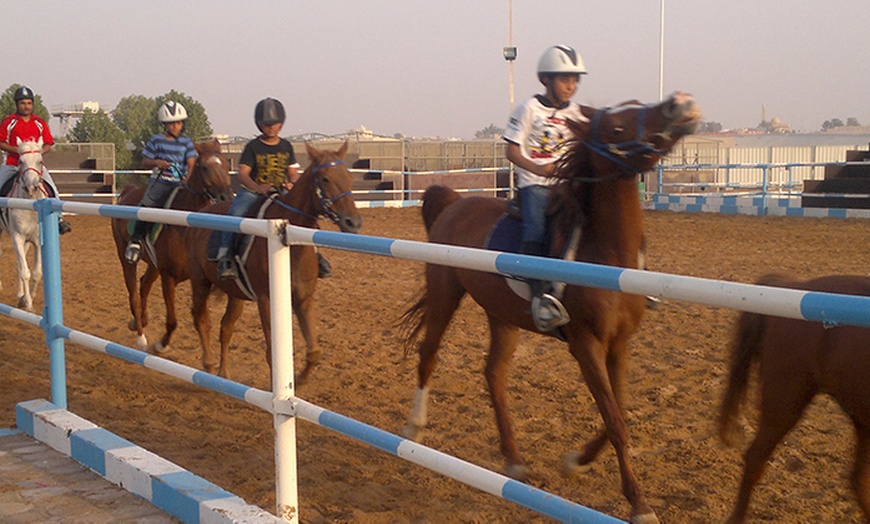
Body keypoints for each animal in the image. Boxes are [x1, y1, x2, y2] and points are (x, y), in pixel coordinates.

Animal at [0, 138, 46, 312]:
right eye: (21, 161)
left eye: (40, 161)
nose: (31, 187)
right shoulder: (17, 237)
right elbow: (25, 272)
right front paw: (29, 303)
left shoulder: (38, 241)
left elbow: (36, 273)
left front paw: (27, 297)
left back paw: (20, 293)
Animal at [110, 139, 233, 352]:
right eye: (204, 166)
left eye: (226, 164)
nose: (226, 197)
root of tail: (126, 194)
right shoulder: (168, 276)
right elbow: (173, 321)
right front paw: (161, 344)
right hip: (125, 257)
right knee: (134, 293)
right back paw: (141, 336)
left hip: (153, 265)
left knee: (144, 284)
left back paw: (140, 320)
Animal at [187, 141, 364, 386]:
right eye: (325, 178)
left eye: (348, 175)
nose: (353, 222)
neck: (289, 245)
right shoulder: (266, 299)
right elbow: (273, 351)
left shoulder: (303, 298)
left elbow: (314, 351)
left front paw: (298, 380)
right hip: (200, 283)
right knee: (202, 321)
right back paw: (209, 368)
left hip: (235, 294)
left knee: (225, 327)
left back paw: (224, 373)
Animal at [400, 92, 700, 520]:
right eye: (617, 127)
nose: (680, 103)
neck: (603, 254)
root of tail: (455, 202)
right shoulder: (585, 344)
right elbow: (614, 419)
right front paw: (639, 504)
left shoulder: (620, 344)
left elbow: (617, 413)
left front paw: (577, 461)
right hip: (444, 292)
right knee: (429, 353)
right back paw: (414, 426)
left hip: (502, 317)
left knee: (493, 374)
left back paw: (513, 460)